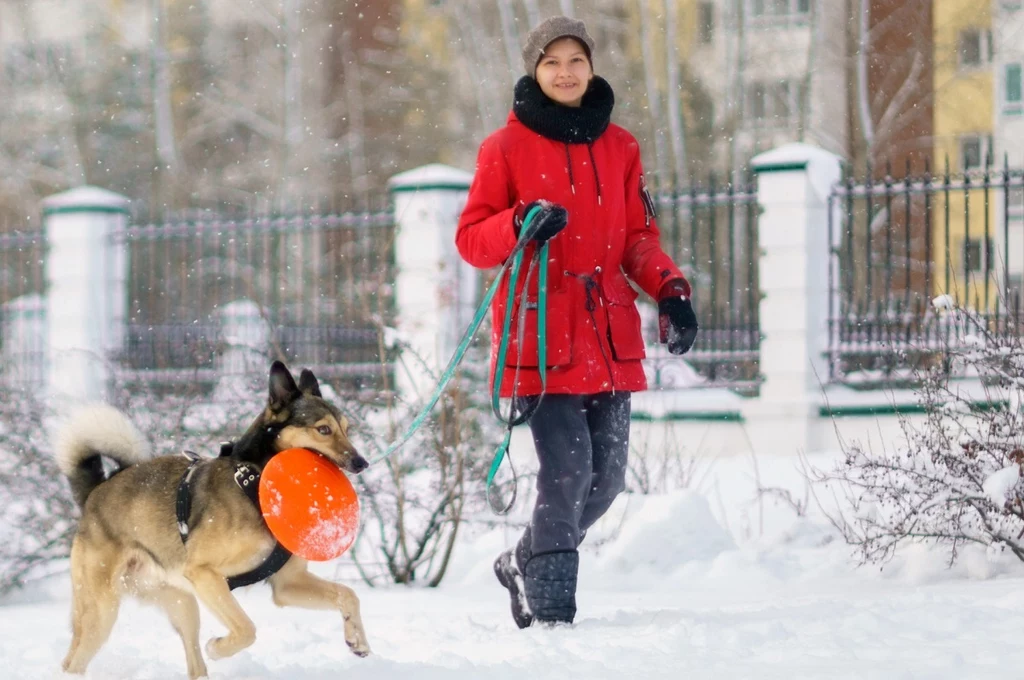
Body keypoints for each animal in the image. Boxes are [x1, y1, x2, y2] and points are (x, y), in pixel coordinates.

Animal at [56, 360, 372, 675]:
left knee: (194, 661)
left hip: (182, 604)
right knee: (73, 661)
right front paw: (218, 648)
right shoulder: (203, 572)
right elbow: (246, 629)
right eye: (323, 429)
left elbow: (349, 594)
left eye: (347, 429)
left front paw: (357, 640)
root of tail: (95, 491)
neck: (255, 485)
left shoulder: (287, 584)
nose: (362, 463)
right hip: (102, 610)